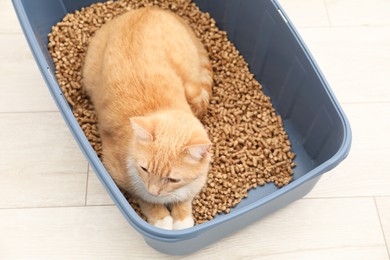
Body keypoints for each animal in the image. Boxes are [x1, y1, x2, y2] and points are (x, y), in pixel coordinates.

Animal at [82, 7, 213, 230]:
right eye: (144, 168)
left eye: (173, 179)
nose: (154, 191)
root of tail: (149, 9)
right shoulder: (116, 171)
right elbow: (142, 197)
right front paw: (161, 219)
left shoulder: (195, 182)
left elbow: (184, 199)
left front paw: (182, 220)